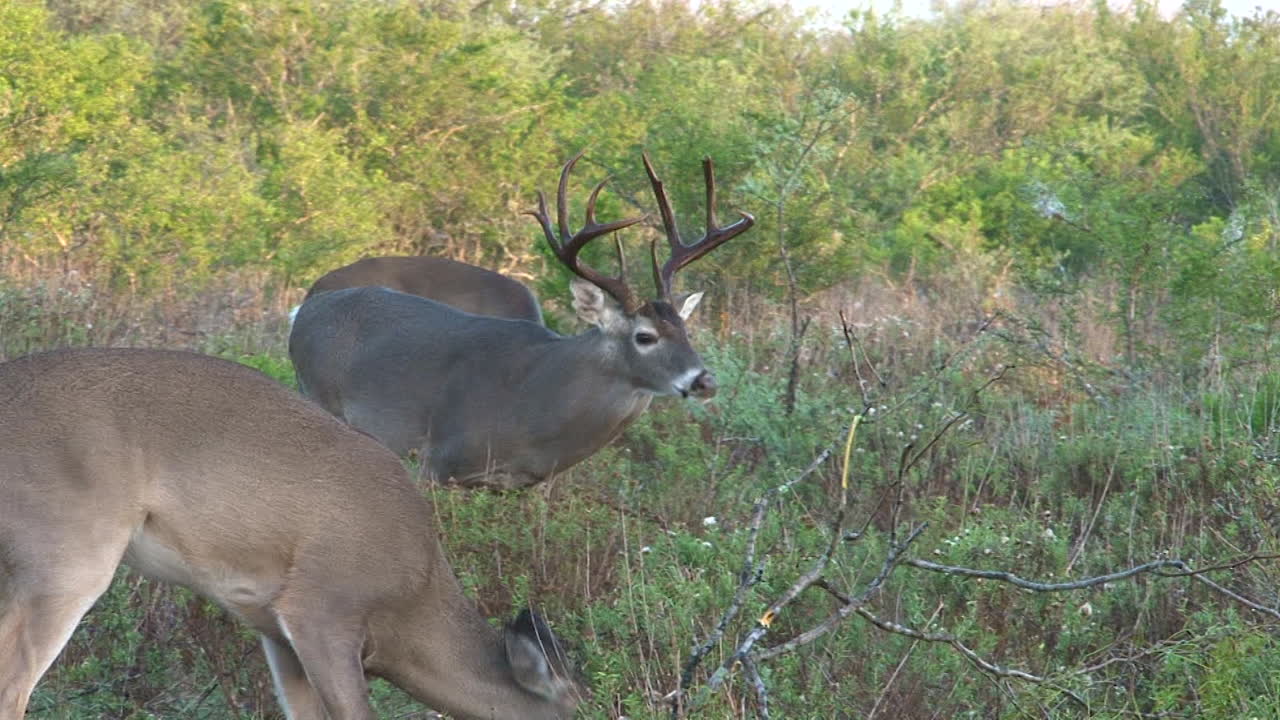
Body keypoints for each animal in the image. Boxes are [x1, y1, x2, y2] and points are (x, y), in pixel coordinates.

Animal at [0, 347, 584, 720]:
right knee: (14, 688)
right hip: (70, 555)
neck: (413, 597)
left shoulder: (277, 633)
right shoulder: (322, 610)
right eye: (580, 712)